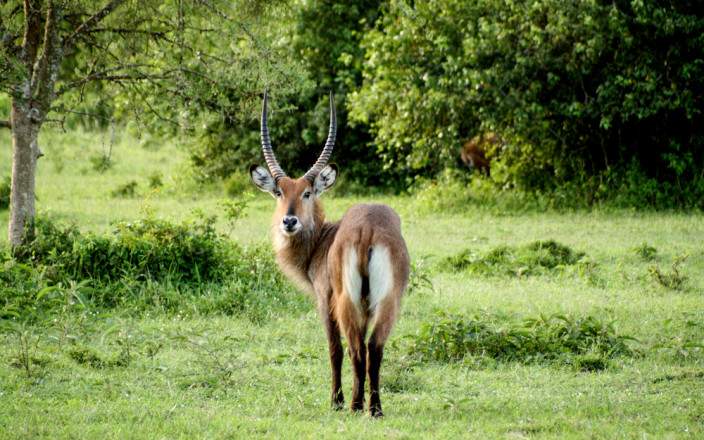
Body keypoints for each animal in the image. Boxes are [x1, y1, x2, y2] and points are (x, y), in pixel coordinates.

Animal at [249, 91, 410, 418]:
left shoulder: (324, 300)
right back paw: (374, 408)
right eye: (279, 192)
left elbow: (334, 348)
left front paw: (335, 401)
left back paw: (354, 405)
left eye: (307, 192)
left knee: (356, 347)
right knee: (375, 346)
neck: (324, 239)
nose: (289, 221)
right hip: (387, 301)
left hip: (348, 302)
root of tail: (369, 228)